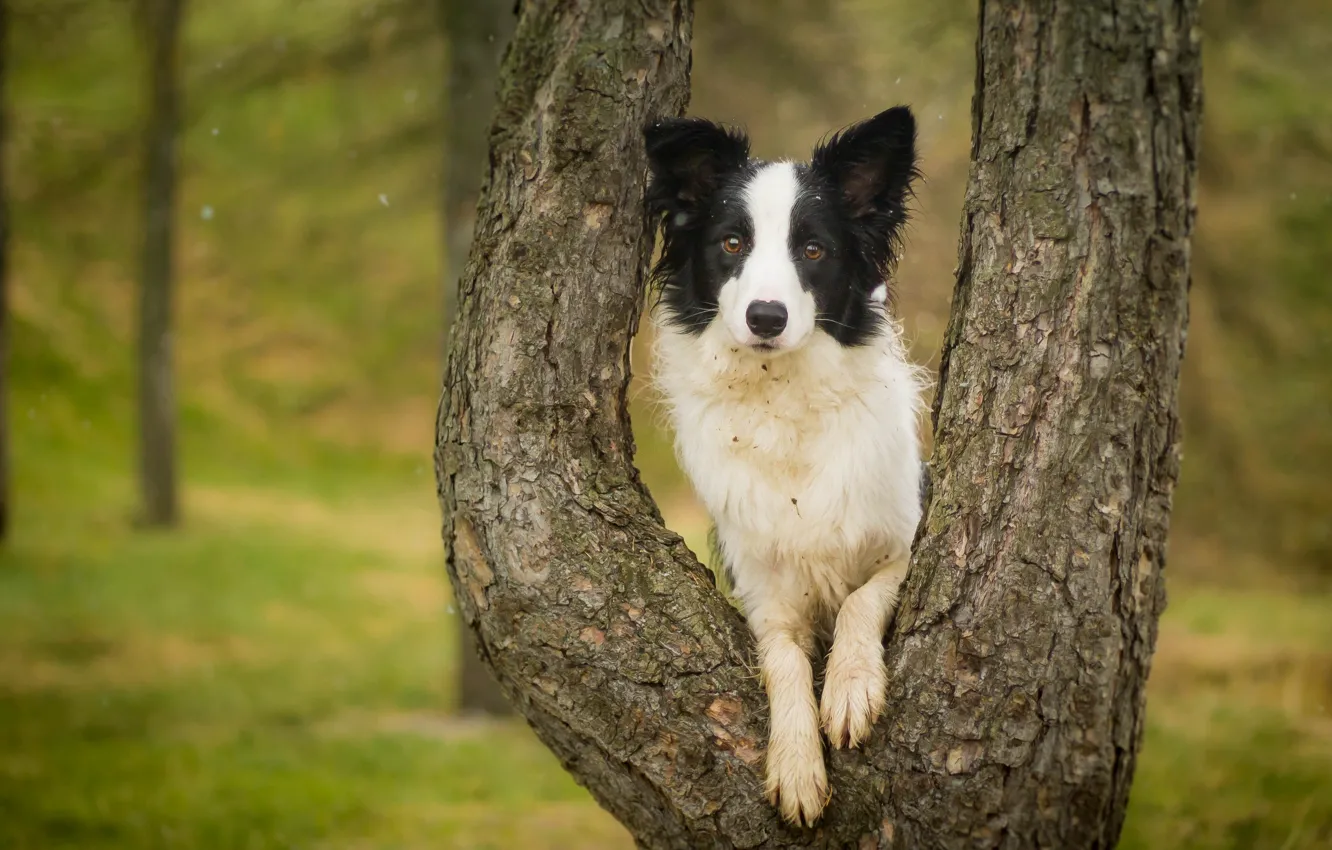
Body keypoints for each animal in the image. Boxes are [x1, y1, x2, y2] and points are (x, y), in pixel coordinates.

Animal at [644, 105, 927, 826]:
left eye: (814, 251)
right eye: (732, 244)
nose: (766, 317)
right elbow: (784, 665)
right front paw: (796, 765)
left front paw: (851, 688)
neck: (782, 394)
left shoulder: (905, 538)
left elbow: (860, 597)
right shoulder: (763, 590)